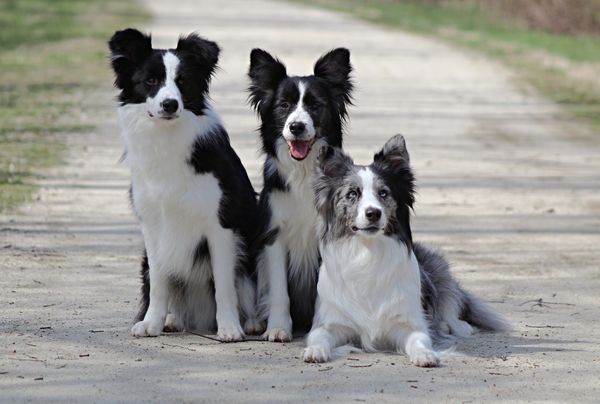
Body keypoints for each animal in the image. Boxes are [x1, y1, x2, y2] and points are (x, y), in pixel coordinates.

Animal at [108, 28, 260, 340]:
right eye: (150, 81)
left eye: (182, 82)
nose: (170, 104)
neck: (167, 137)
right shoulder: (153, 226)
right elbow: (159, 282)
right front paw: (151, 323)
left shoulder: (221, 225)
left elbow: (224, 285)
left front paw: (229, 327)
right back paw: (172, 319)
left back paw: (250, 323)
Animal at [247, 47, 354, 340]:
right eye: (284, 105)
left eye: (315, 105)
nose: (296, 126)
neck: (304, 170)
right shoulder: (274, 236)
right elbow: (279, 291)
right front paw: (278, 328)